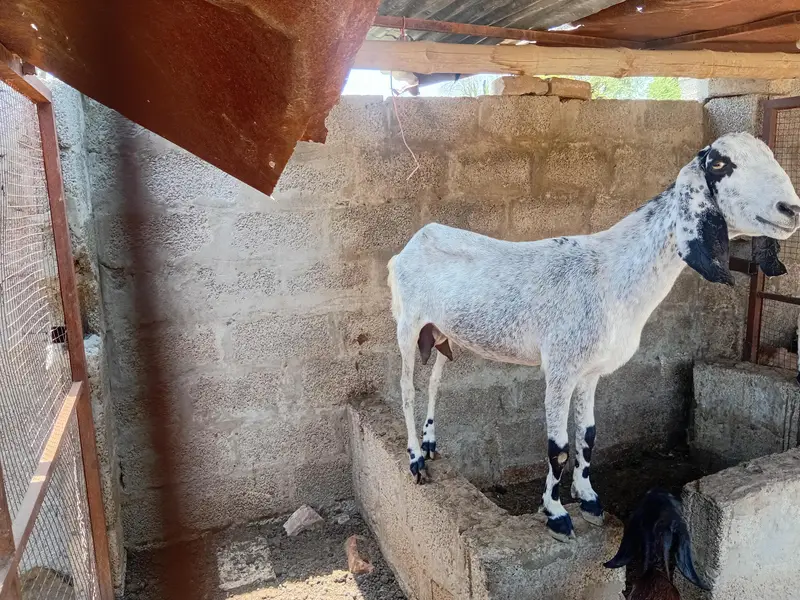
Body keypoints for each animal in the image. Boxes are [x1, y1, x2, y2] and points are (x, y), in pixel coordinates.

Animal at [387, 132, 800, 541]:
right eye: (720, 163)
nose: (790, 209)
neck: (612, 272)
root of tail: (411, 244)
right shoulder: (560, 367)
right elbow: (558, 447)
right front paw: (556, 515)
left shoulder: (590, 371)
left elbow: (588, 436)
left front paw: (588, 500)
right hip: (407, 325)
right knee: (407, 389)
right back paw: (416, 460)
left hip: (444, 334)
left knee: (436, 380)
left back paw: (430, 443)